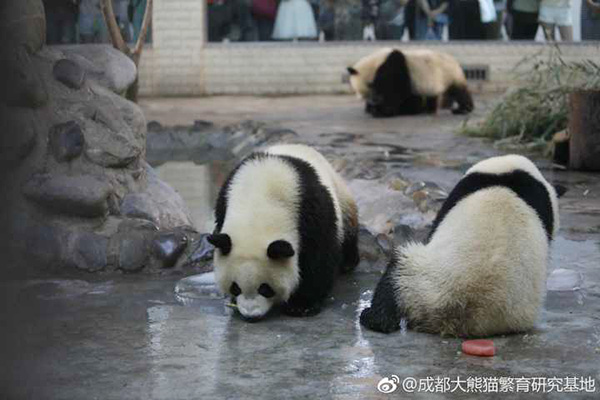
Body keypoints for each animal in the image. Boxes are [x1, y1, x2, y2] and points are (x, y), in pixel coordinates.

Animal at [206, 144, 358, 322]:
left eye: (265, 289)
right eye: (235, 287)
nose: (251, 316)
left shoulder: (310, 210)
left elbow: (319, 256)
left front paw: (301, 305)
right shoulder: (224, 200)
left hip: (340, 195)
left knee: (348, 226)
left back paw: (348, 263)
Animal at [346, 47, 474, 117]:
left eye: (369, 86)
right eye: (364, 93)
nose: (373, 101)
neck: (375, 63)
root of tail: (455, 61)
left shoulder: (394, 67)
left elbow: (396, 91)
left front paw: (383, 111)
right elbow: (409, 95)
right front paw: (371, 109)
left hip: (449, 74)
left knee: (458, 91)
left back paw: (463, 109)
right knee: (431, 95)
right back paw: (428, 109)